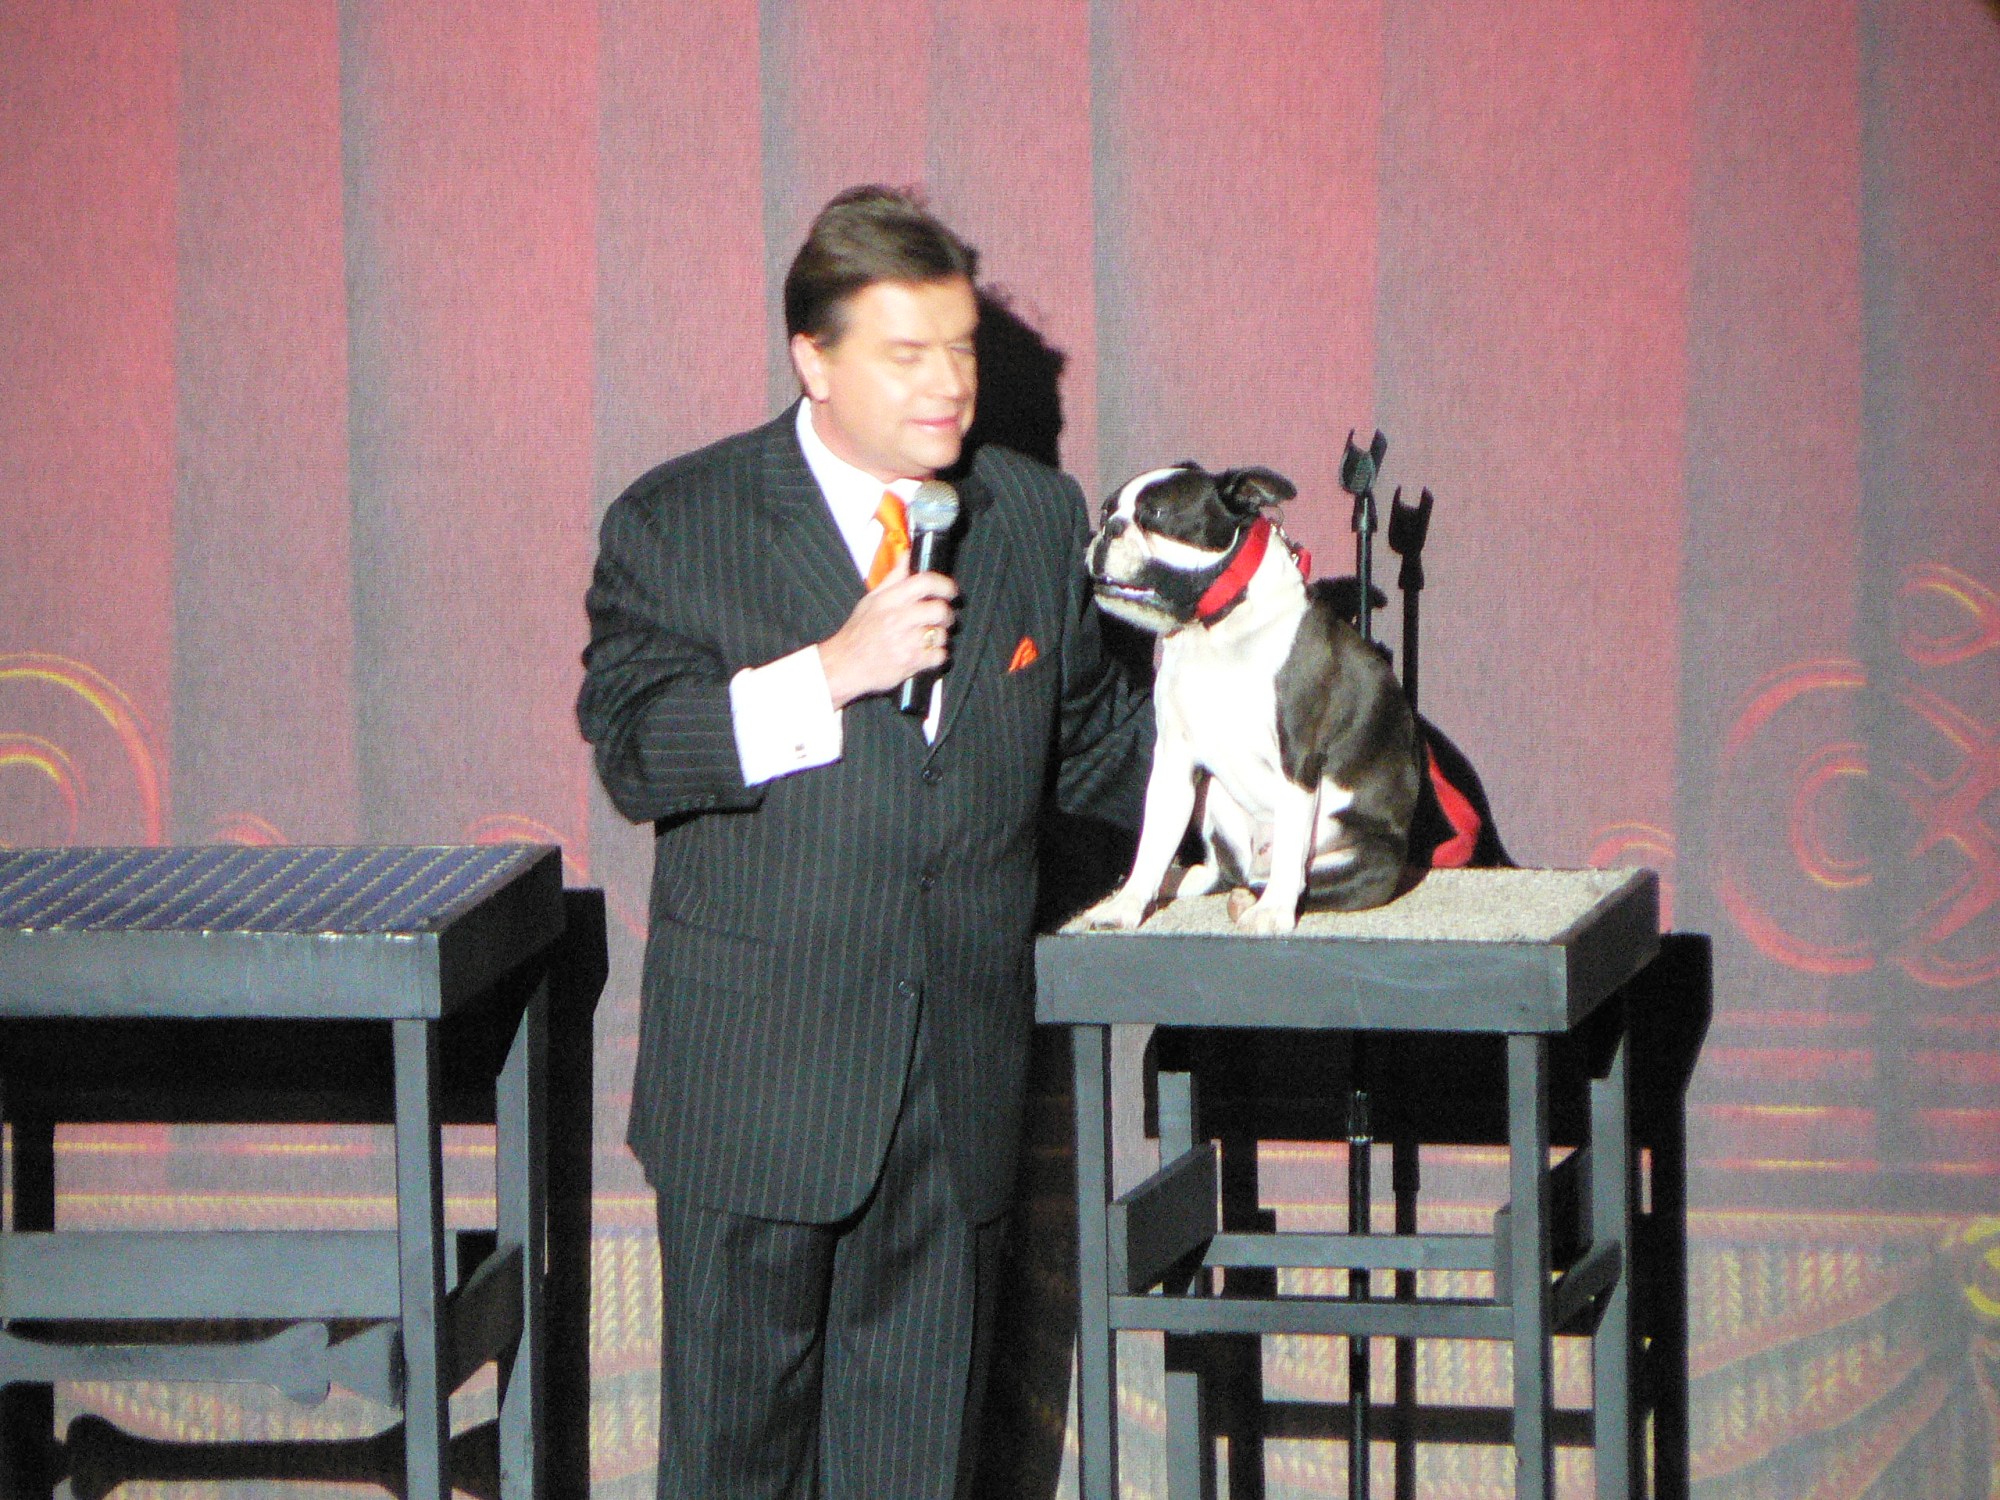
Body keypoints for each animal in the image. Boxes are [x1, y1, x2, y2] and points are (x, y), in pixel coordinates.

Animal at [1079, 463, 1421, 933]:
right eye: (1105, 510)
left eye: (1157, 515)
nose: (1107, 528)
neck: (1216, 630)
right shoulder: (1173, 760)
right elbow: (1153, 841)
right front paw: (1127, 904)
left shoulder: (1298, 759)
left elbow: (1292, 845)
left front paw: (1273, 913)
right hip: (1215, 800)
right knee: (1225, 873)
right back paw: (1180, 881)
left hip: (1370, 860)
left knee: (1301, 880)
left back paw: (1256, 900)